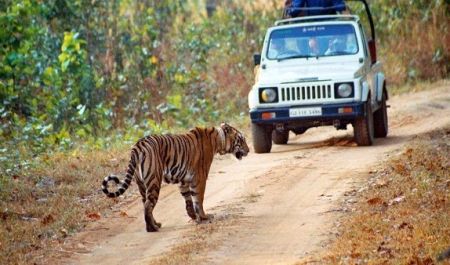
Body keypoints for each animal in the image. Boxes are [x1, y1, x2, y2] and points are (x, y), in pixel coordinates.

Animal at [101, 122, 250, 231]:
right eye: (241, 140)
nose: (249, 150)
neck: (217, 140)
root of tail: (138, 145)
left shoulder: (184, 180)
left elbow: (188, 200)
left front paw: (193, 216)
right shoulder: (199, 178)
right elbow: (198, 199)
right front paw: (204, 217)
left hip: (141, 184)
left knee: (145, 204)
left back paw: (156, 224)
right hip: (154, 180)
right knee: (148, 205)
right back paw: (152, 228)